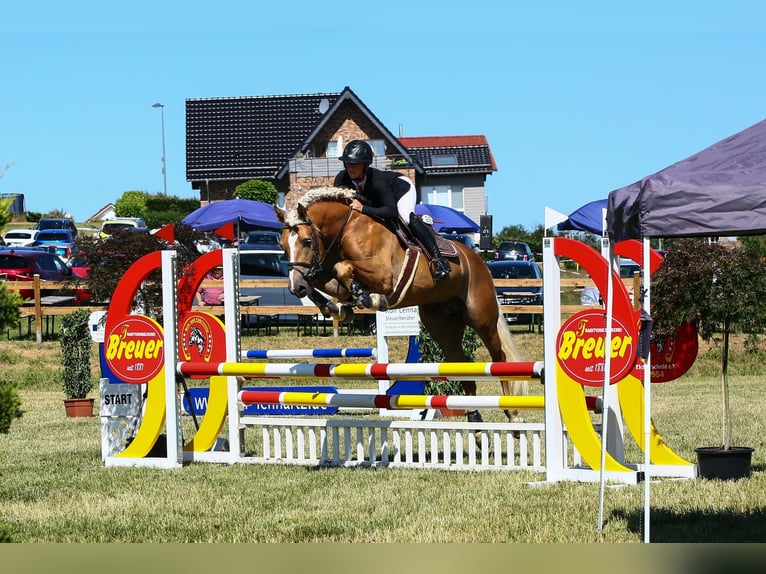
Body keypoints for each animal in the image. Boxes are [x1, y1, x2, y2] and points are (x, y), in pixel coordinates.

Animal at [278, 187, 536, 426]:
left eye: (306, 241)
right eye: (283, 246)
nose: (295, 287)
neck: (347, 228)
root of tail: (478, 259)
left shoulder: (384, 277)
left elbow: (344, 268)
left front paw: (370, 299)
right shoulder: (332, 275)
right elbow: (328, 279)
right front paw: (334, 306)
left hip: (481, 317)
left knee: (498, 356)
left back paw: (512, 413)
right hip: (442, 325)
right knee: (461, 363)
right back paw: (474, 419)